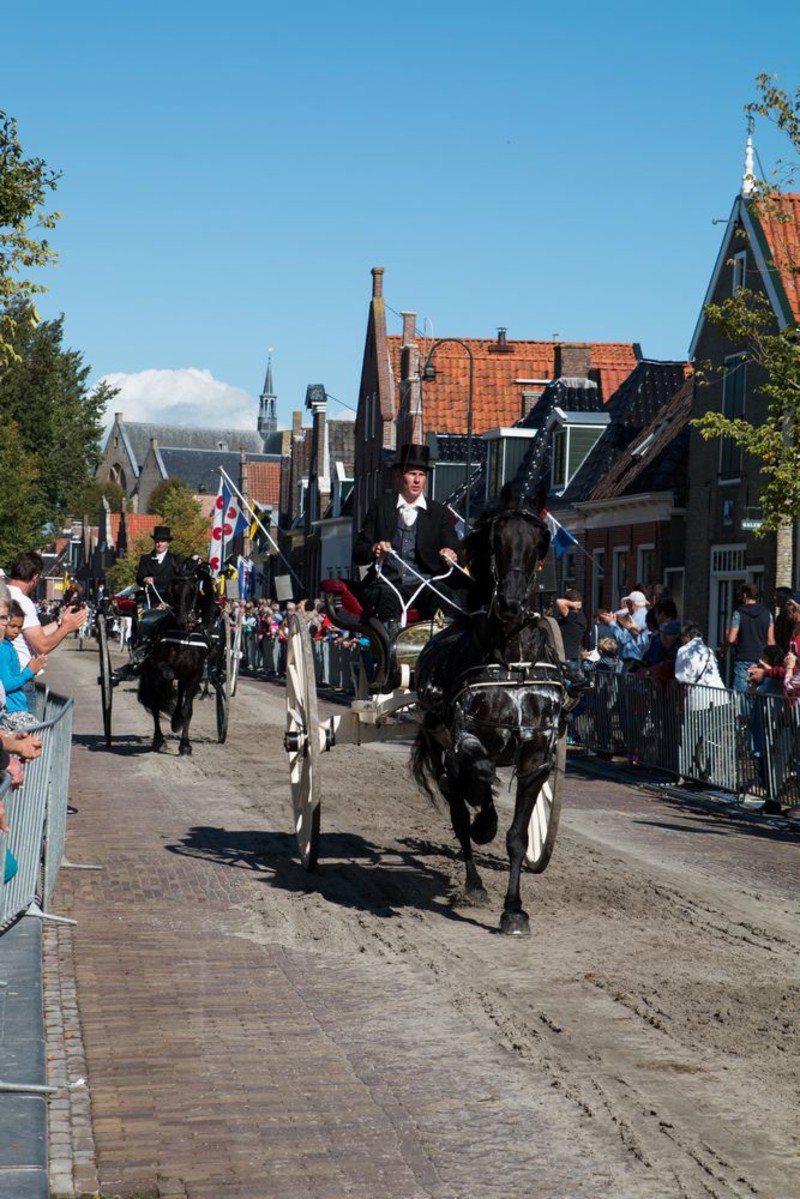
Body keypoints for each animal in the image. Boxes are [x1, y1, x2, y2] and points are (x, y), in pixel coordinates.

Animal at [137, 557, 219, 755]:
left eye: (193, 587)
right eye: (173, 586)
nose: (184, 619)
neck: (184, 636)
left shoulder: (195, 675)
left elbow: (187, 709)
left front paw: (185, 744)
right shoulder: (158, 666)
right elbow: (166, 678)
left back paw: (175, 720)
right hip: (150, 673)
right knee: (155, 702)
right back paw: (159, 739)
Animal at [411, 483, 567, 936]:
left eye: (538, 542)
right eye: (496, 540)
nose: (512, 603)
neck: (512, 659)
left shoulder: (536, 756)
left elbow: (518, 837)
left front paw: (514, 910)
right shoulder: (466, 738)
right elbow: (476, 780)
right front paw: (486, 824)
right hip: (440, 746)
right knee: (458, 806)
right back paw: (475, 878)